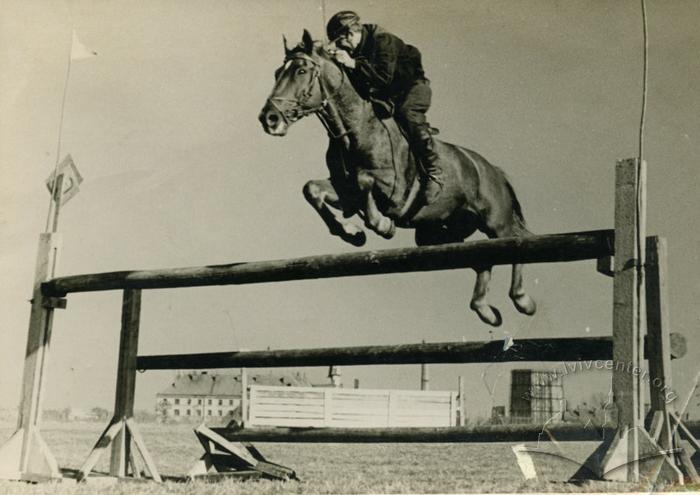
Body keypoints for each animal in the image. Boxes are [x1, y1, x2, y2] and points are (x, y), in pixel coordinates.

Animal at [258, 29, 536, 328]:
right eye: (277, 73)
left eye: (300, 70)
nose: (269, 119)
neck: (355, 129)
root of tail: (493, 169)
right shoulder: (344, 190)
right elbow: (312, 189)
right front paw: (352, 233)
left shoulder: (395, 190)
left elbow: (366, 183)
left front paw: (382, 224)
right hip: (439, 234)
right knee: (482, 258)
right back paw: (484, 308)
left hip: (495, 221)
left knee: (515, 241)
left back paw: (522, 299)